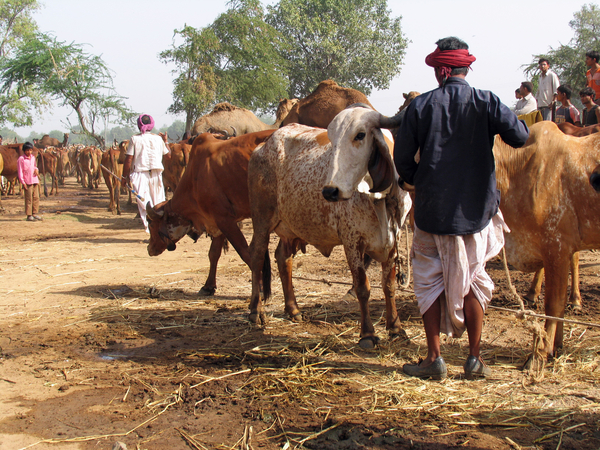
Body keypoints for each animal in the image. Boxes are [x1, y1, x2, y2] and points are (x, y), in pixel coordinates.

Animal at [146, 130, 276, 296]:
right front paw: (208, 286)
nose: (149, 249)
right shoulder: (217, 220)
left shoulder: (225, 220)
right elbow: (213, 253)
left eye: (150, 223)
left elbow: (245, 252)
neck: (194, 176)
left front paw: (259, 286)